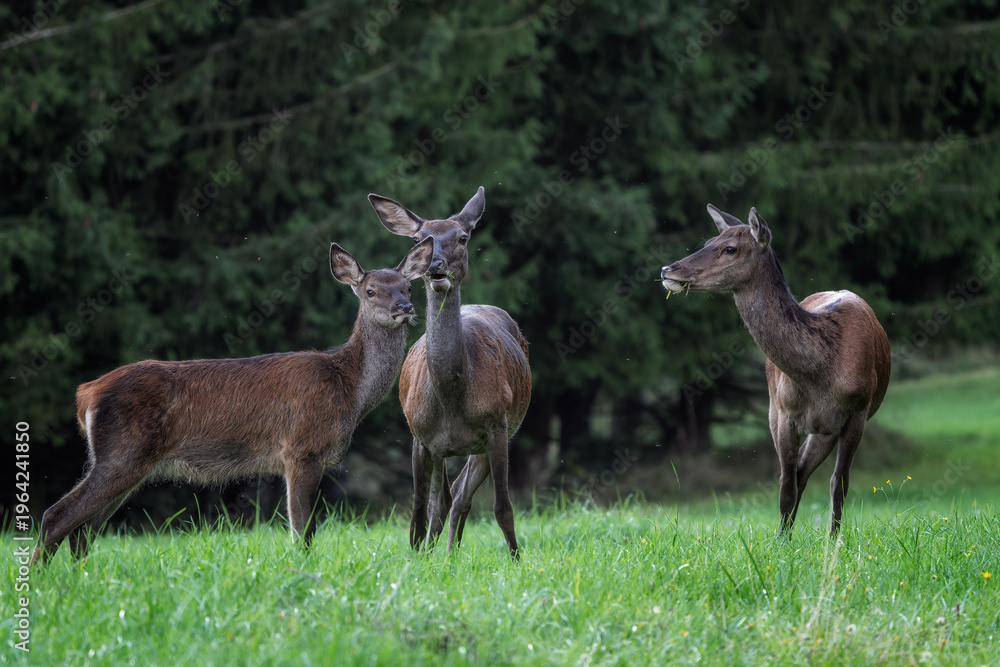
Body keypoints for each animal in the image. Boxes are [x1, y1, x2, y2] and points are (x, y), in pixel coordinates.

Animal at [31, 239, 434, 565]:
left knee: (85, 528)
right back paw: (43, 579)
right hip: (122, 451)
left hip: (129, 461)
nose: (404, 307)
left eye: (408, 286)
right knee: (57, 515)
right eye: (370, 290)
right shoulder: (301, 447)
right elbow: (302, 530)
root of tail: (86, 392)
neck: (349, 388)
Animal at [367, 186, 531, 560]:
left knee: (460, 497)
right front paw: (418, 556)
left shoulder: (497, 426)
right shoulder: (420, 436)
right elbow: (419, 509)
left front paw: (517, 560)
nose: (435, 267)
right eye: (418, 239)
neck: (451, 398)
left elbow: (502, 506)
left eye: (463, 236)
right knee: (444, 499)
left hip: (489, 439)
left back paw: (451, 553)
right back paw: (442, 552)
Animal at [661, 204, 891, 535]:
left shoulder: (857, 413)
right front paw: (781, 541)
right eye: (708, 241)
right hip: (785, 412)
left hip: (828, 427)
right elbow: (785, 486)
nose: (668, 269)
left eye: (729, 248)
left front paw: (834, 542)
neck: (822, 371)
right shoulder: (783, 413)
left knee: (810, 475)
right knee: (799, 474)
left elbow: (839, 484)